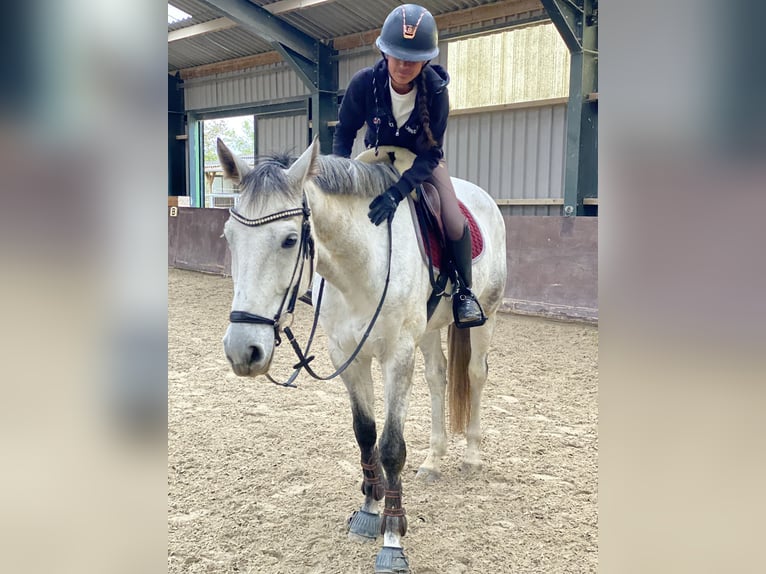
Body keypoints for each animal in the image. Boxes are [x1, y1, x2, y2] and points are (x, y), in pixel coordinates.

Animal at [217, 136, 507, 573]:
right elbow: (365, 434)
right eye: (229, 236)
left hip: (485, 315)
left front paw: (392, 538)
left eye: (289, 240)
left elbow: (391, 447)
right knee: (437, 377)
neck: (359, 264)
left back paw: (471, 456)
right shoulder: (347, 356)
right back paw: (434, 460)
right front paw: (370, 510)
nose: (242, 350)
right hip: (429, 329)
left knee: (474, 374)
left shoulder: (397, 356)